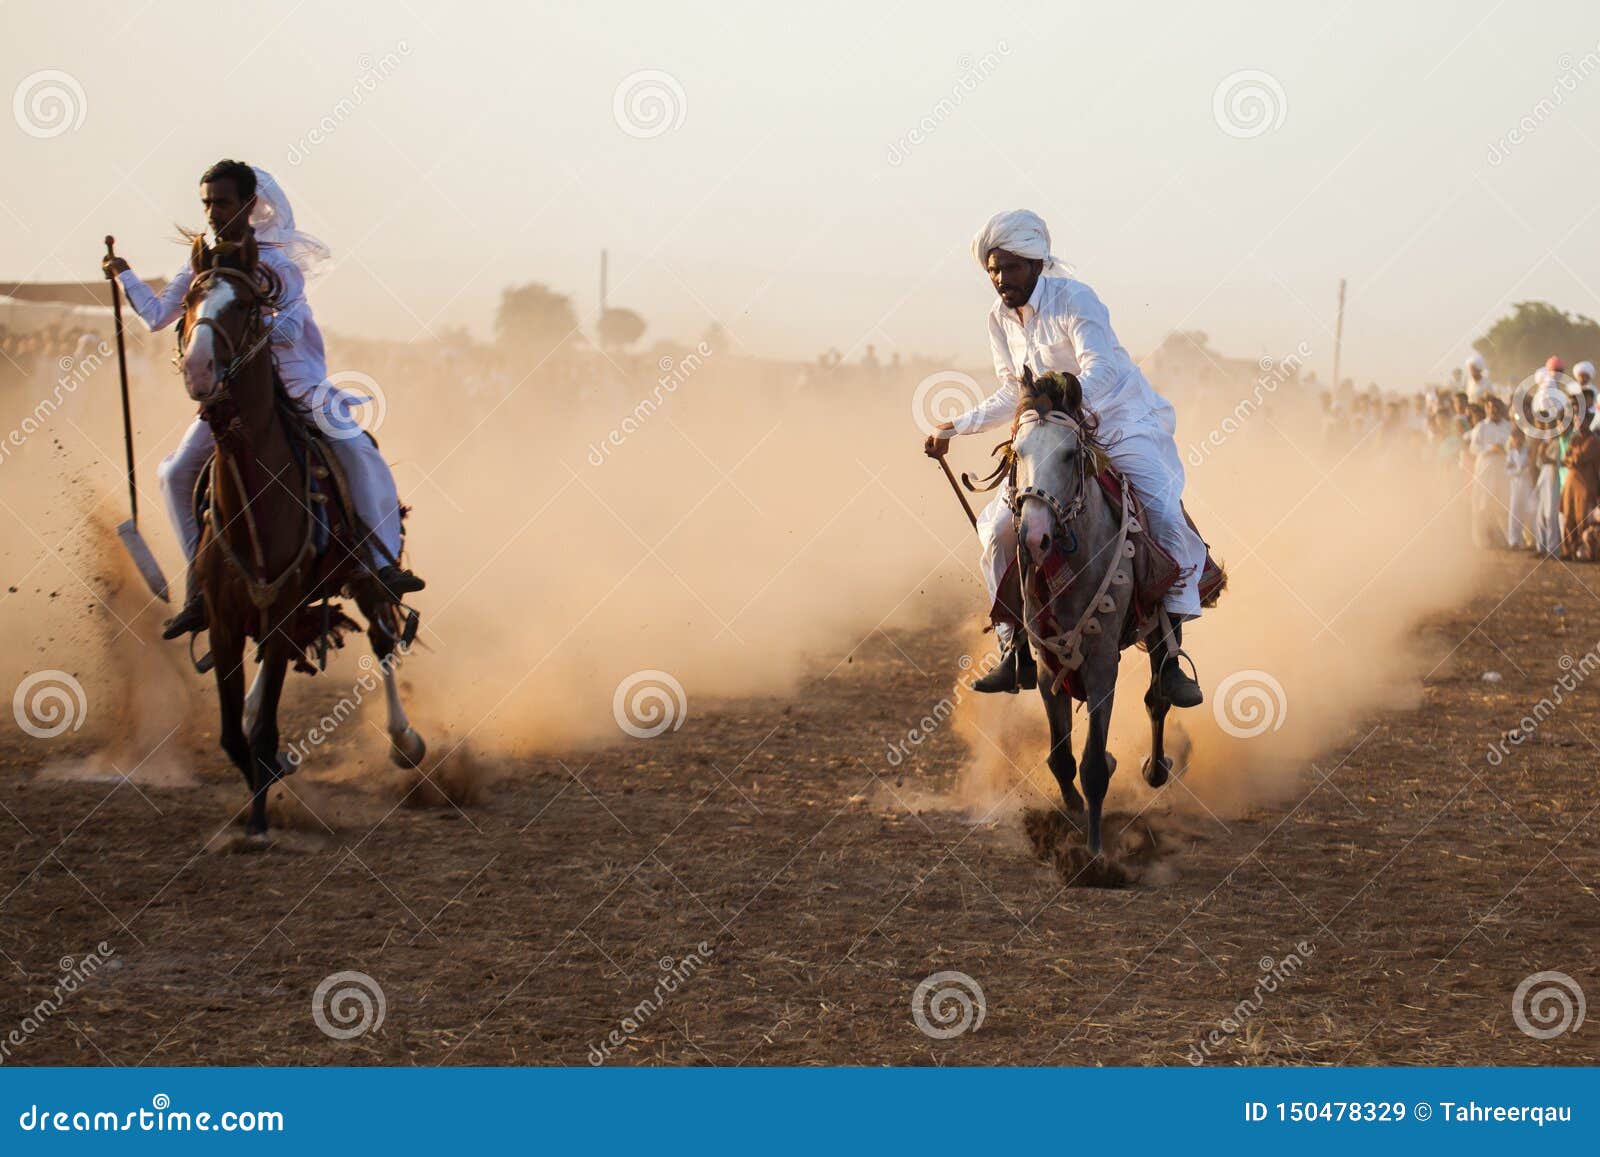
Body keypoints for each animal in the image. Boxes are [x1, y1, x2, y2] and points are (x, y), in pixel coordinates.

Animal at [178, 233, 425, 832]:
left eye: (245, 306)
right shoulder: (224, 619)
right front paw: (260, 784)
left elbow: (266, 725)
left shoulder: (288, 601)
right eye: (189, 301)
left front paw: (259, 819)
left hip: (364, 580)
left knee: (382, 641)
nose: (199, 367)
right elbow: (232, 734)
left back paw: (404, 741)